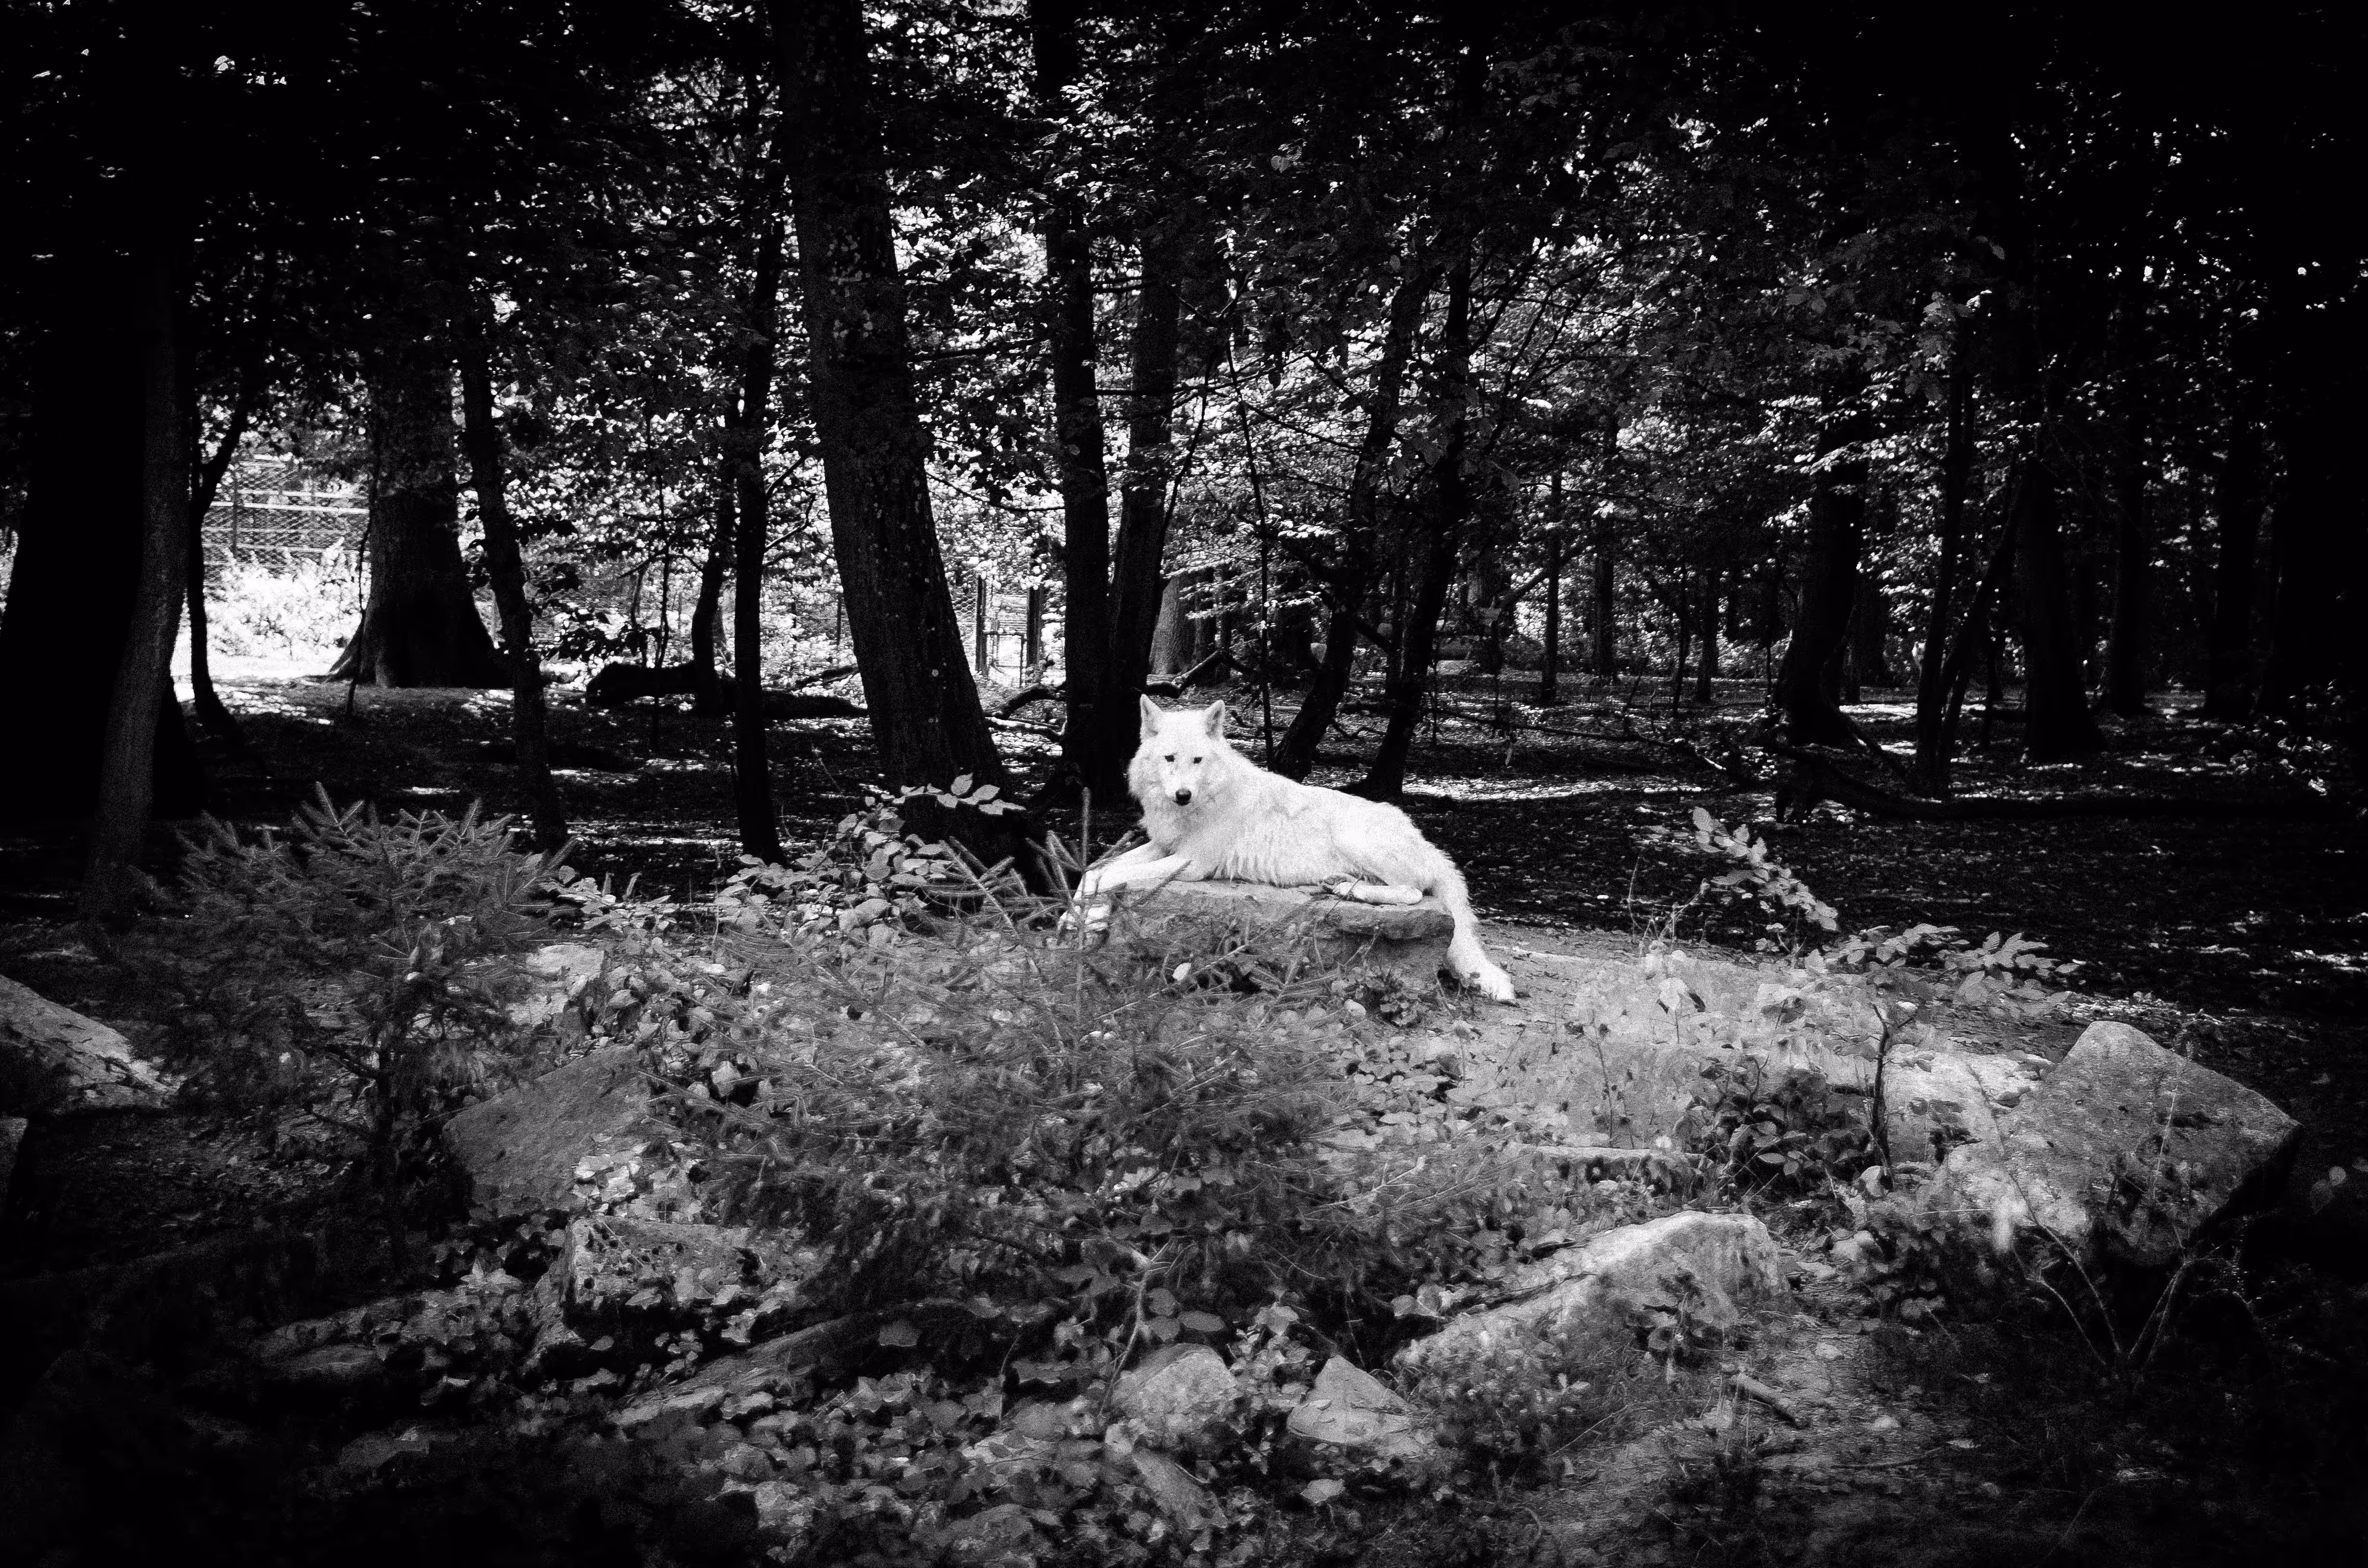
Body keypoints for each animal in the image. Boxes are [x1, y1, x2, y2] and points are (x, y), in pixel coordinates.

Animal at [1075, 696, 1516, 1002]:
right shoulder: (1162, 846)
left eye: (1197, 761)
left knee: (1411, 893)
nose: (1183, 795)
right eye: (1170, 759)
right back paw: (1344, 884)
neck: (1202, 802)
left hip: (1355, 837)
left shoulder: (1191, 863)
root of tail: (1429, 844)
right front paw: (1077, 918)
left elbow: (1111, 875)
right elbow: (1094, 871)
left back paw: (1348, 889)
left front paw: (1089, 920)